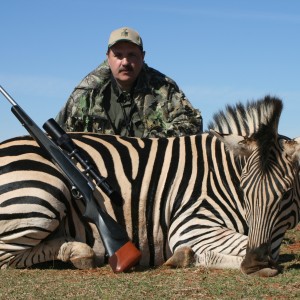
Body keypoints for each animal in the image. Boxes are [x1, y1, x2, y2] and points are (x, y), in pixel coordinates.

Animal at [0, 96, 298, 276]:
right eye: (245, 191)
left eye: (285, 194)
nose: (255, 264)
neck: (222, 175)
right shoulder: (190, 223)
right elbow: (264, 249)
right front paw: (186, 257)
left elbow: (265, 248)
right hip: (43, 197)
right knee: (5, 256)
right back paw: (78, 252)